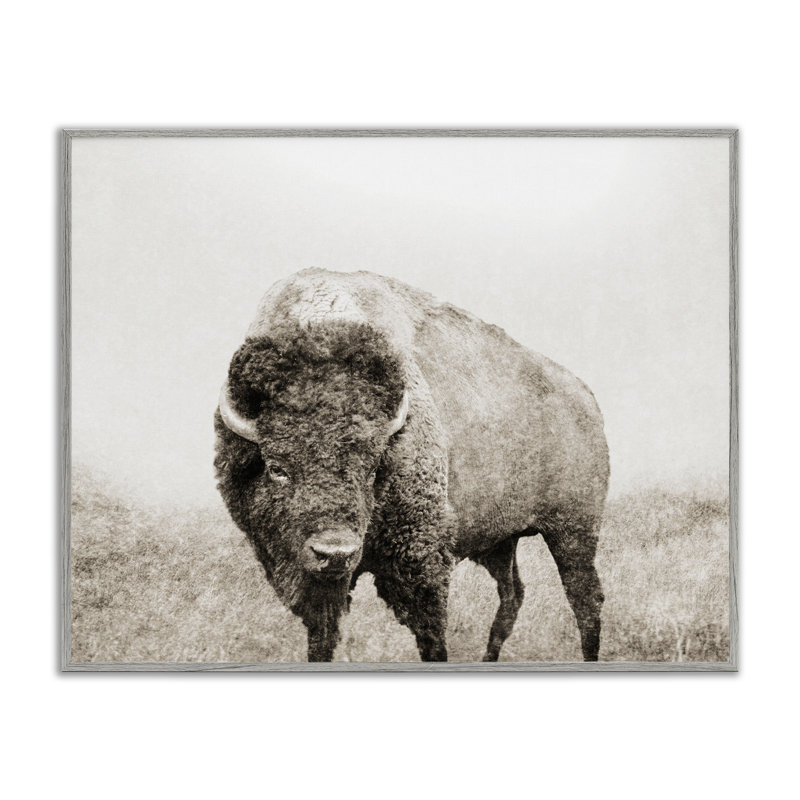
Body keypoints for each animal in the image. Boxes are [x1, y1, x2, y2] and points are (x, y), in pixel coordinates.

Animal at [214, 268, 609, 662]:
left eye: (373, 468)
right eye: (277, 468)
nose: (335, 553)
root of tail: (586, 398)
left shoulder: (421, 561)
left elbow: (432, 636)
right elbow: (321, 638)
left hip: (572, 531)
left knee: (585, 598)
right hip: (502, 541)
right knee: (512, 595)